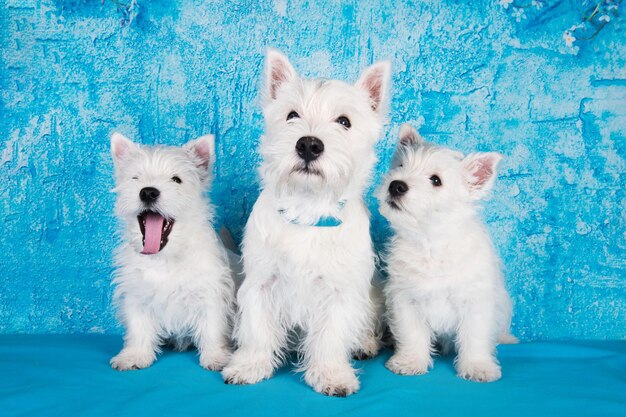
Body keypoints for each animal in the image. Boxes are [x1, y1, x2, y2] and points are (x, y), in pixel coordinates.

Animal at [108, 132, 235, 370]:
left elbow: (212, 328)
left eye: (176, 179)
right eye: (135, 178)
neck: (164, 257)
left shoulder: (210, 293)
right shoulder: (137, 295)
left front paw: (216, 357)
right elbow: (138, 327)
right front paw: (134, 355)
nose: (148, 192)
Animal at [218, 50, 386, 394]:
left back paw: (364, 343)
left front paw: (331, 374)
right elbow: (256, 329)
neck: (308, 209)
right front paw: (249, 365)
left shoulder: (340, 291)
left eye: (344, 121)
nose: (309, 144)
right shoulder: (261, 283)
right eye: (292, 115)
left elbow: (332, 335)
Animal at [376, 125, 516, 382]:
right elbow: (411, 334)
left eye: (435, 180)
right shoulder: (405, 300)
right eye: (400, 165)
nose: (396, 185)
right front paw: (410, 361)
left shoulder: (476, 302)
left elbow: (475, 337)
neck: (430, 242)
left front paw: (478, 366)